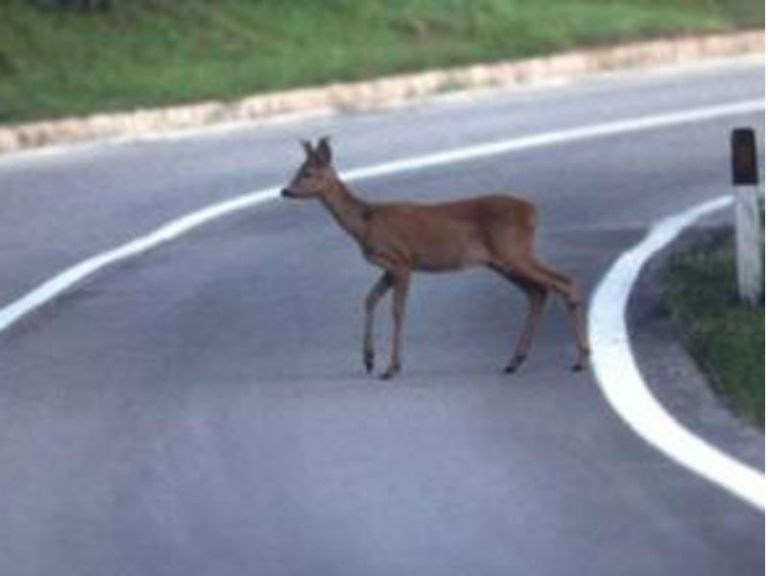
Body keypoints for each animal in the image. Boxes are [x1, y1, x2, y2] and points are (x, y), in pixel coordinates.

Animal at [280, 137, 588, 380]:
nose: (285, 190)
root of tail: (533, 210)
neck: (365, 222)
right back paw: (515, 362)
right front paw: (369, 359)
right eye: (298, 170)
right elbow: (369, 299)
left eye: (307, 172)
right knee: (537, 292)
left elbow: (397, 311)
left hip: (513, 251)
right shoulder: (390, 267)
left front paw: (392, 368)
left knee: (563, 282)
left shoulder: (401, 261)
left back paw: (581, 360)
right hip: (502, 261)